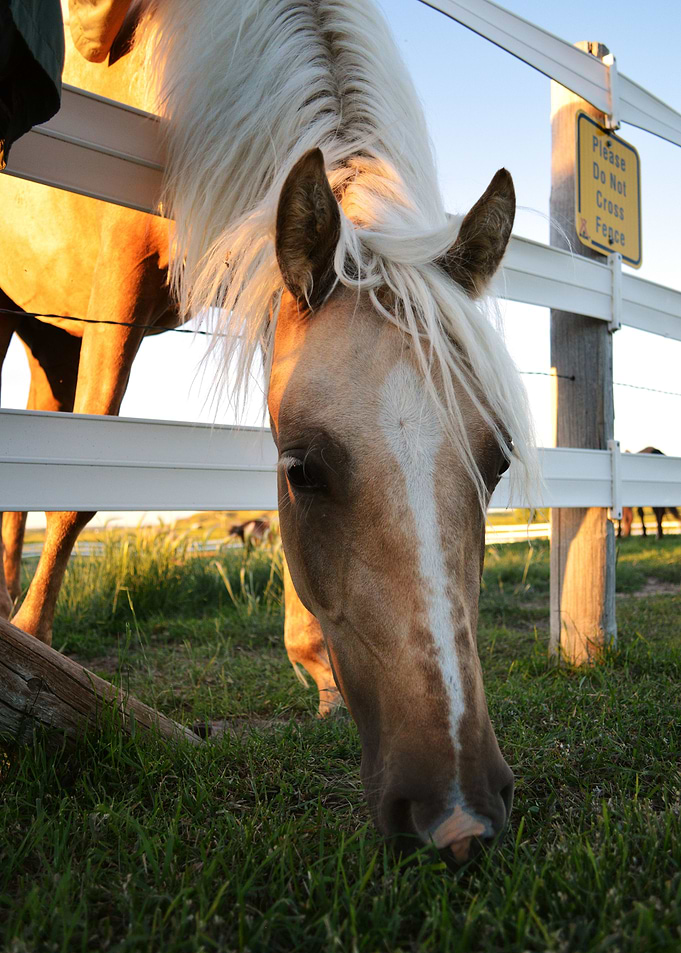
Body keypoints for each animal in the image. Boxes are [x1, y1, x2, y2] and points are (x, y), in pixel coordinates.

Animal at [1, 0, 535, 861]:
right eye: (303, 469)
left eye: (495, 462)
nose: (460, 819)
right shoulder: (118, 283)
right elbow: (78, 491)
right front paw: (37, 655)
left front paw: (317, 675)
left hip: (48, 334)